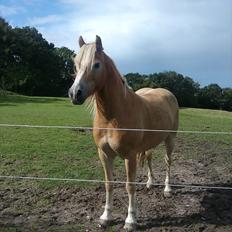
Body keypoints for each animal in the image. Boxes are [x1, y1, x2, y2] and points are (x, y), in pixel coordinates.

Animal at [68, 35, 179, 231]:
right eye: (76, 64)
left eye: (96, 64)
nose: (75, 94)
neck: (112, 117)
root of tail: (167, 93)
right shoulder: (104, 154)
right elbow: (109, 184)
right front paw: (106, 217)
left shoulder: (130, 156)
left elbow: (130, 186)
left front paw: (131, 220)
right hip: (150, 144)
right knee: (149, 159)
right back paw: (150, 183)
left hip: (170, 139)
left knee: (168, 161)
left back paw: (167, 189)